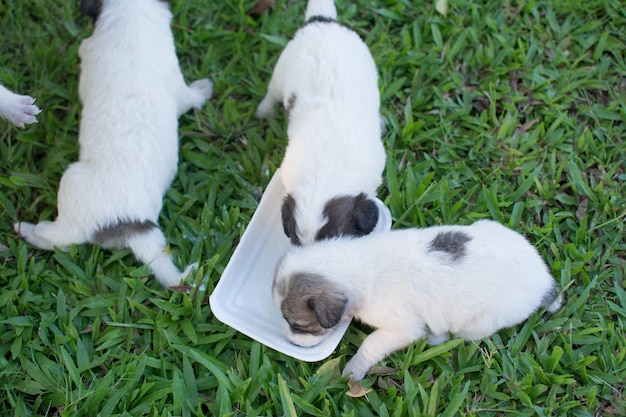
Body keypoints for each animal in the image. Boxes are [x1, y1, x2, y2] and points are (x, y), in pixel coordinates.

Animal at [13, 0, 213, 286]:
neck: (133, 19)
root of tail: (132, 224)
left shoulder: (89, 54)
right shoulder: (176, 80)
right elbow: (191, 96)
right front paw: (204, 89)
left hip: (72, 183)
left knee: (60, 242)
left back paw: (30, 229)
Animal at [255, 0, 386, 245]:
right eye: (296, 242)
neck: (324, 173)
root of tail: (321, 21)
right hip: (282, 70)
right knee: (272, 92)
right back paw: (264, 109)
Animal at [272, 219, 560, 382]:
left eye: (298, 324)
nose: (289, 340)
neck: (352, 263)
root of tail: (544, 279)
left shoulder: (401, 328)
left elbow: (370, 344)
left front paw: (353, 370)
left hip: (480, 321)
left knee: (461, 335)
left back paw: (435, 338)